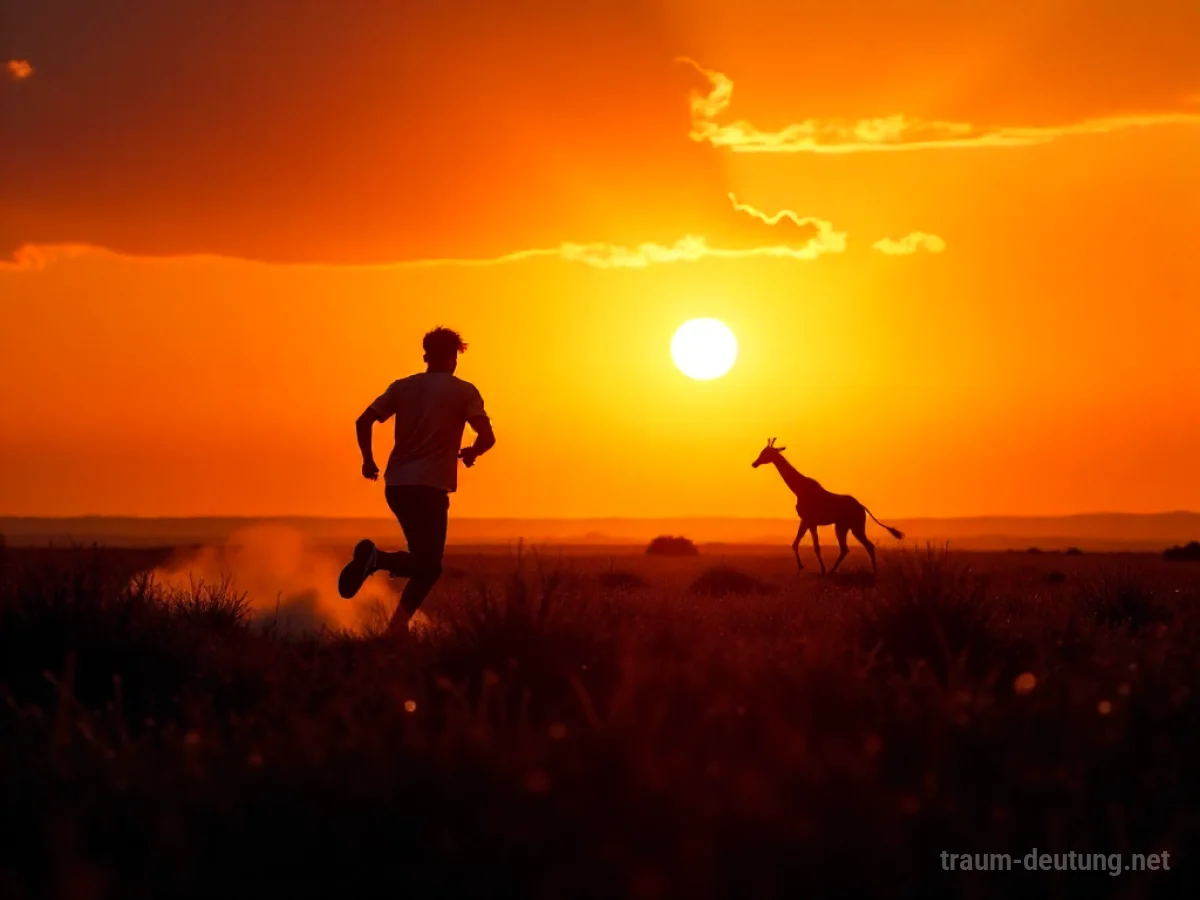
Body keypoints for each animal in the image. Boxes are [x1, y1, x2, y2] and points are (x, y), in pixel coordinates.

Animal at [751, 438, 904, 574]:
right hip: (843, 526)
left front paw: (822, 570)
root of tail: (862, 507)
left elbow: (816, 546)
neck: (799, 489)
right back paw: (836, 571)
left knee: (865, 546)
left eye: (766, 453)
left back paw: (869, 571)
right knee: (847, 548)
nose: (754, 463)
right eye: (762, 451)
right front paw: (801, 567)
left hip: (854, 526)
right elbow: (795, 543)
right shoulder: (804, 520)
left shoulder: (811, 521)